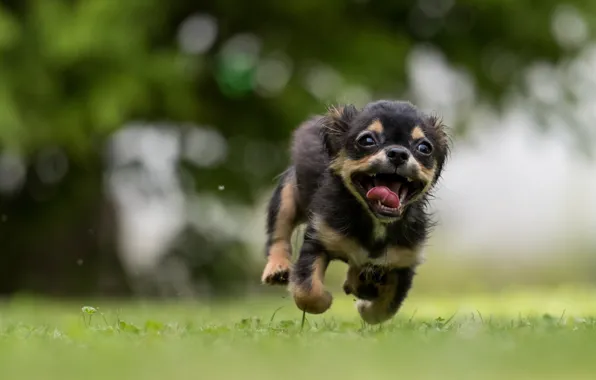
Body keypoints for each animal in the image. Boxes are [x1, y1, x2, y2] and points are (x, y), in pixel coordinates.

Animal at [260, 100, 448, 324]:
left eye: (424, 148)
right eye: (367, 140)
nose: (398, 153)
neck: (376, 221)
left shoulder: (403, 262)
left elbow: (384, 310)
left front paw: (365, 307)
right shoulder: (318, 240)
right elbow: (307, 292)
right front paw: (326, 299)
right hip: (287, 196)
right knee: (278, 234)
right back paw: (277, 268)